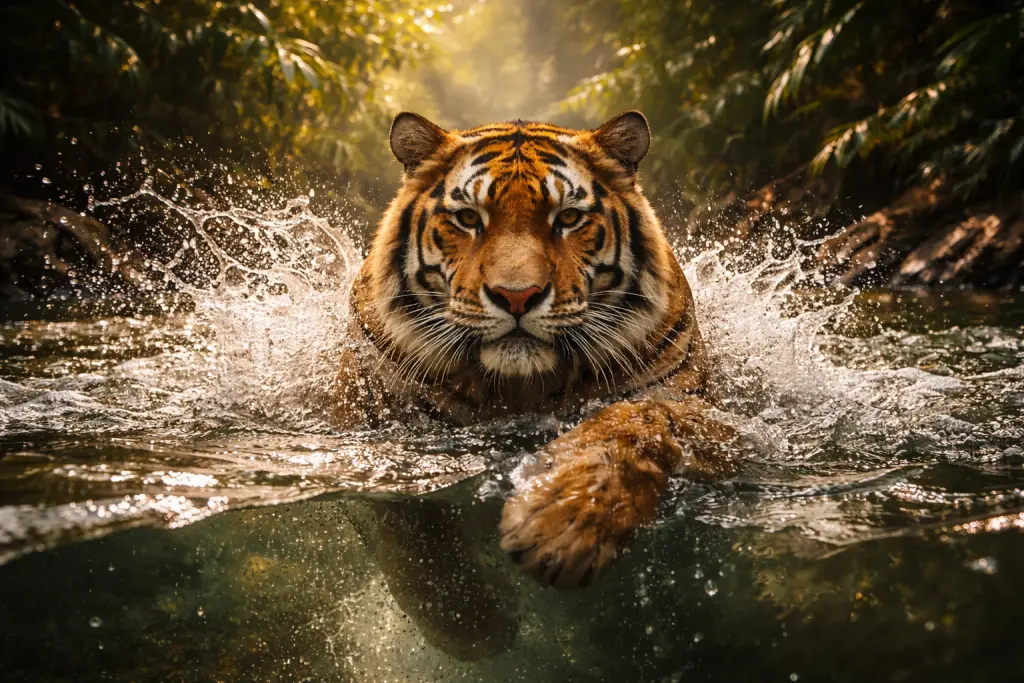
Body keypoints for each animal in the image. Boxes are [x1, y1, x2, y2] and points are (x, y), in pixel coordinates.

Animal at [334, 110, 737, 657]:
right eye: (468, 219)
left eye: (567, 218)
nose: (517, 295)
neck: (519, 388)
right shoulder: (374, 446)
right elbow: (413, 541)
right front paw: (476, 625)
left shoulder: (725, 422)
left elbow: (640, 419)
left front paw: (563, 526)